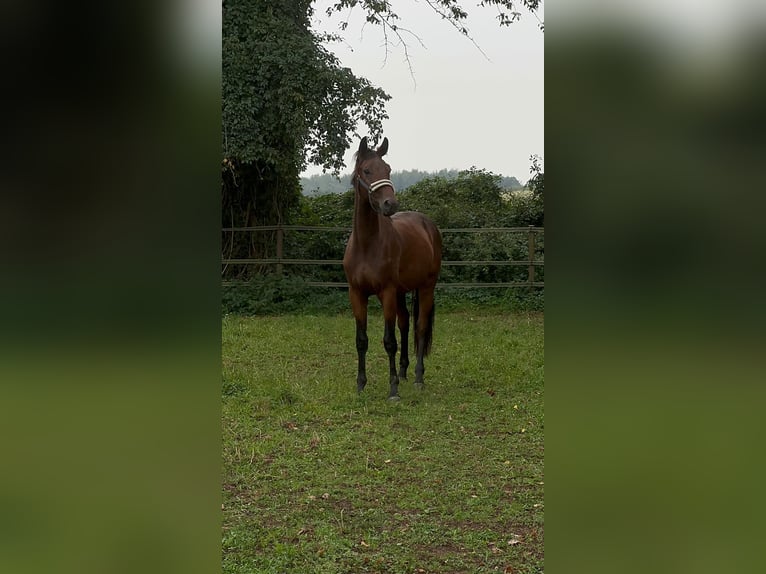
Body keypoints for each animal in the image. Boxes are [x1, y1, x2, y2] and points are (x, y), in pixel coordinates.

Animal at [344, 138, 444, 402]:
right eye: (367, 170)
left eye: (388, 169)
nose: (390, 204)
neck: (367, 244)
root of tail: (428, 225)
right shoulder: (356, 294)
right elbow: (361, 340)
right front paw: (361, 385)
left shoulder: (386, 292)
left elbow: (389, 341)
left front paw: (393, 391)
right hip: (401, 293)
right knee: (405, 323)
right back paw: (403, 372)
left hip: (426, 287)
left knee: (420, 328)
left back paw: (418, 377)